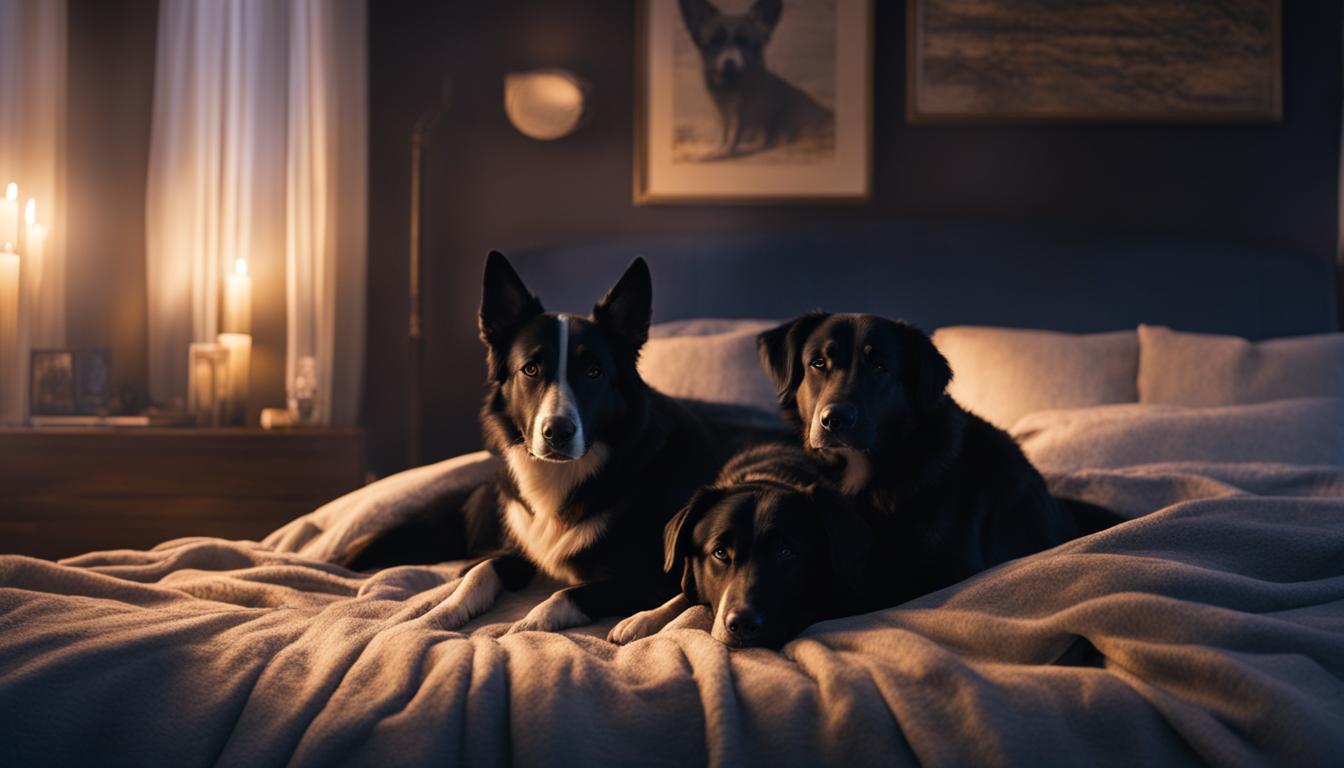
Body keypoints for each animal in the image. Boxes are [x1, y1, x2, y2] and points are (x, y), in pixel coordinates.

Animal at [612, 443, 865, 648]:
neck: (767, 477)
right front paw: (644, 618)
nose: (742, 624)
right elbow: (684, 594)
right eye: (720, 553)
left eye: (785, 552)